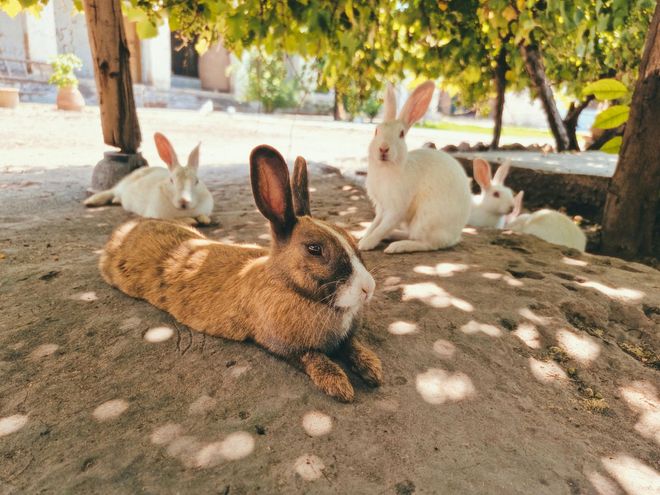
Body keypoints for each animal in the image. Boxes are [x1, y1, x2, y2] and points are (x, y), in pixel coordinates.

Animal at [84, 132, 213, 225]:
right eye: (172, 181)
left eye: (196, 181)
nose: (184, 201)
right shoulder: (157, 215)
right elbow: (177, 220)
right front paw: (191, 221)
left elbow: (203, 215)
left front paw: (204, 220)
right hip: (121, 188)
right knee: (112, 192)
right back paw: (91, 201)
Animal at [99, 145, 382, 402]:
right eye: (315, 249)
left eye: (350, 237)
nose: (369, 288)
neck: (288, 286)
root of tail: (122, 232)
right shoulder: (282, 345)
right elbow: (313, 357)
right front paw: (339, 386)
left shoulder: (344, 339)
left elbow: (352, 345)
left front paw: (373, 369)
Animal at [358, 81, 472, 254]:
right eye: (376, 130)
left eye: (401, 134)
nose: (383, 149)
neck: (386, 168)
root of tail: (455, 235)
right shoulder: (381, 208)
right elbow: (375, 225)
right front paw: (363, 238)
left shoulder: (396, 209)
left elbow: (382, 228)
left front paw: (365, 244)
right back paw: (393, 237)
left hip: (425, 219)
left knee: (427, 244)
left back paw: (397, 246)